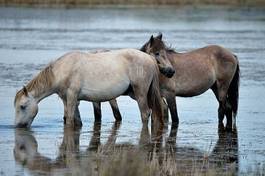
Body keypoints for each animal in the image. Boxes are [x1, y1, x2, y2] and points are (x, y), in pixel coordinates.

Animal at [14, 48, 175, 128]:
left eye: (22, 106)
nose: (19, 126)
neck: (62, 70)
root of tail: (150, 58)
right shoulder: (68, 100)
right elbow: (74, 121)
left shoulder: (72, 97)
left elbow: (70, 120)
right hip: (139, 93)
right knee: (159, 110)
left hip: (140, 92)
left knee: (145, 114)